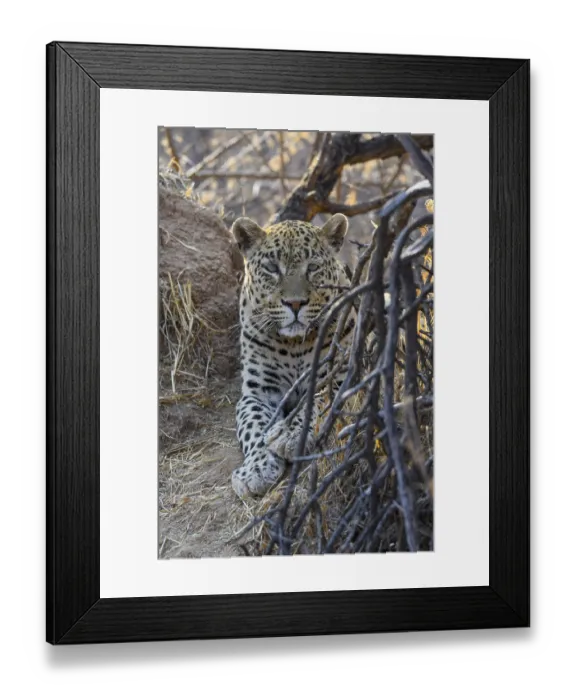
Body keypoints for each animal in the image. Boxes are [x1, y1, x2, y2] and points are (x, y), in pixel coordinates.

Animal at [230, 213, 351, 498]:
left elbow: (314, 400)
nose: (295, 304)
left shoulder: (339, 374)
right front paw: (256, 470)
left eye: (313, 267)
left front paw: (287, 435)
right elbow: (253, 425)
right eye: (272, 268)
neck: (293, 344)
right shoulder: (258, 392)